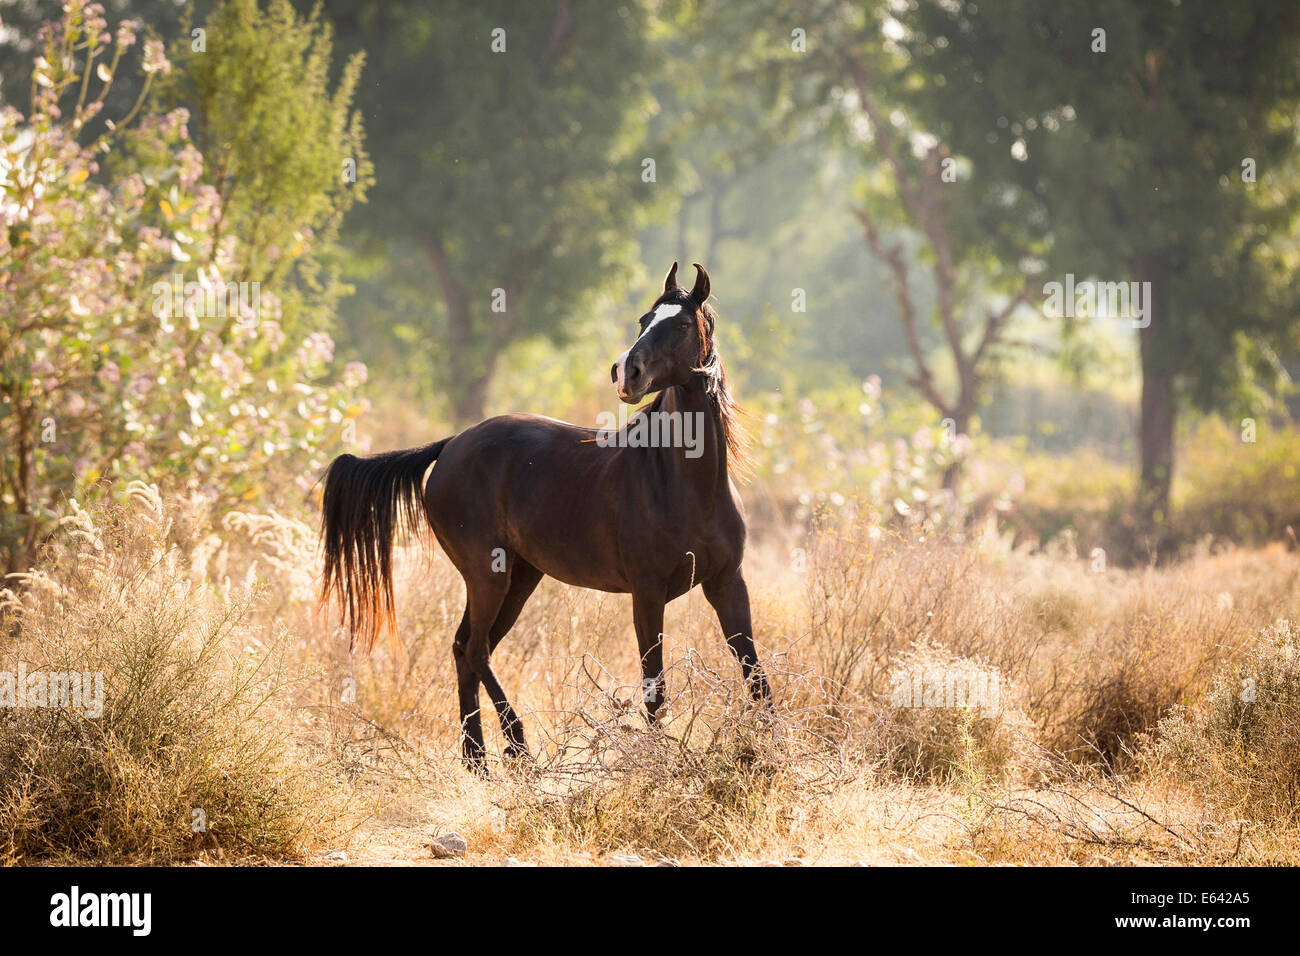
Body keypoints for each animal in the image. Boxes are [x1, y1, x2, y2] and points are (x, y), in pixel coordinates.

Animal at [319, 261, 764, 770]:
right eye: (644, 319)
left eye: (684, 325)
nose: (625, 373)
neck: (687, 485)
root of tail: (450, 446)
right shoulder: (648, 594)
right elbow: (655, 689)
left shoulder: (727, 584)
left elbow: (756, 676)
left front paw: (773, 749)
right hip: (487, 576)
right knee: (475, 650)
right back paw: (517, 749)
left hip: (519, 578)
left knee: (465, 649)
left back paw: (477, 760)